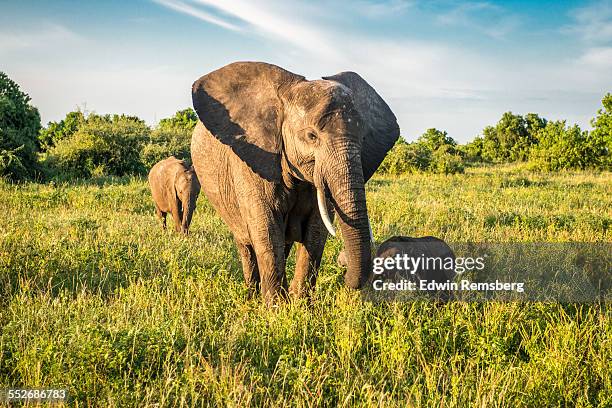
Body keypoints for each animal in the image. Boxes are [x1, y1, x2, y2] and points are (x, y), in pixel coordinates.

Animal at [192, 61, 402, 302]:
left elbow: (317, 231)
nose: (343, 264)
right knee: (246, 244)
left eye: (364, 138)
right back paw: (251, 295)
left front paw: (299, 303)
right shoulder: (252, 161)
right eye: (312, 136)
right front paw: (276, 307)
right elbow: (268, 232)